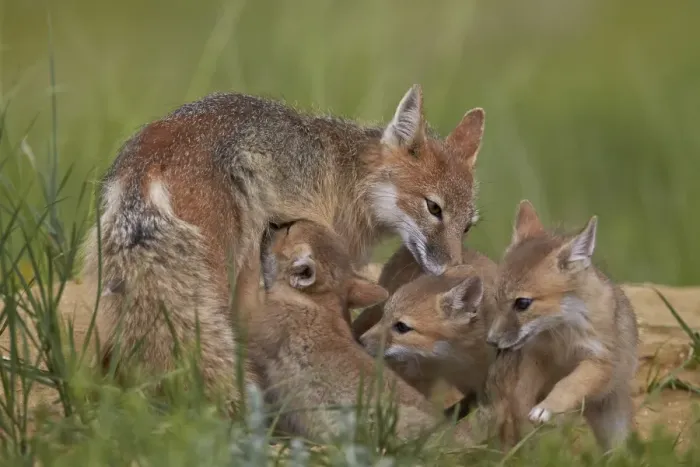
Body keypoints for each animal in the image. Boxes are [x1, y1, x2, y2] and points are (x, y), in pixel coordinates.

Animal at [484, 200, 639, 451]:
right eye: (496, 299)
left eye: (522, 303)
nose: (492, 341)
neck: (562, 339)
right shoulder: (535, 358)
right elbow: (520, 394)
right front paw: (526, 417)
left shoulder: (600, 362)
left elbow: (570, 383)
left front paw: (548, 407)